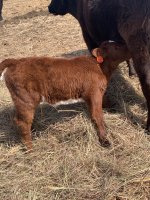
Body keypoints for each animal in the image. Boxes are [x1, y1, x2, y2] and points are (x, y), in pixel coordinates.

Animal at [0, 41, 129, 150]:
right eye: (116, 47)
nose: (129, 47)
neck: (100, 68)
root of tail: (16, 61)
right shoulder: (94, 92)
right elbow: (98, 116)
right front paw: (105, 141)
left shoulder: (93, 94)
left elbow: (101, 104)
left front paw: (111, 106)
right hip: (25, 99)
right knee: (21, 122)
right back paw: (30, 148)